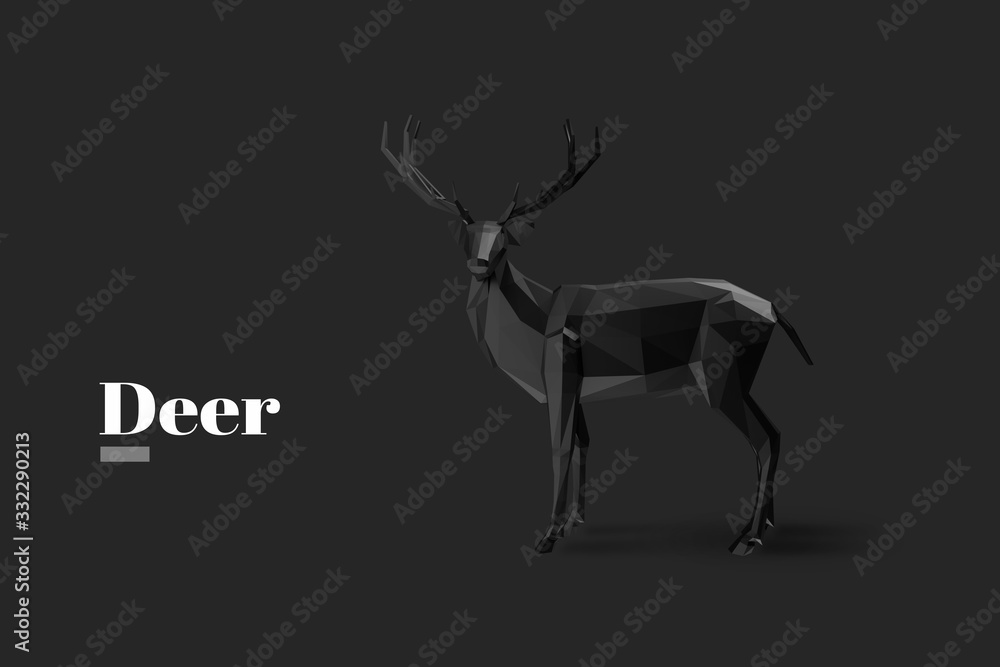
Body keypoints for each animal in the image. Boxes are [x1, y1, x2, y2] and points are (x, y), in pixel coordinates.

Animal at [382, 117, 814, 556]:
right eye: (469, 235)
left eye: (503, 239)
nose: (479, 263)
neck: (532, 329)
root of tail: (772, 310)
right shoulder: (578, 385)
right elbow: (584, 442)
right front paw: (573, 522)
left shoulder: (561, 373)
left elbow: (559, 447)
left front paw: (547, 537)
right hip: (740, 378)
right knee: (776, 432)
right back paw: (762, 526)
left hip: (720, 374)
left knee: (763, 438)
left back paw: (748, 539)